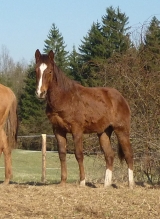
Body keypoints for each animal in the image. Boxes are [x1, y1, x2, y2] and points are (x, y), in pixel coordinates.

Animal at [35, 49, 135, 188]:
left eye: (49, 71)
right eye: (36, 70)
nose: (40, 93)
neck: (65, 97)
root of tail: (121, 98)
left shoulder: (77, 130)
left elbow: (79, 154)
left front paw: (82, 181)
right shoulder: (58, 130)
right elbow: (62, 154)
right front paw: (62, 182)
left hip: (122, 130)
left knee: (128, 155)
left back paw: (131, 185)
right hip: (104, 132)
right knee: (109, 155)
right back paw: (106, 185)